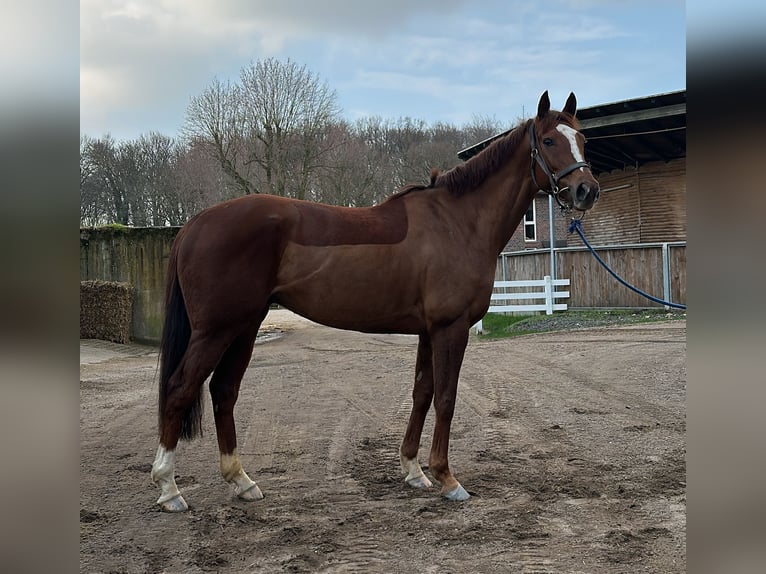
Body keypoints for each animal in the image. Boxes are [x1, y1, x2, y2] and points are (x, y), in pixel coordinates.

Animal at [153, 90, 604, 512]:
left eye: (582, 138)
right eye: (549, 140)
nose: (586, 190)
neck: (458, 222)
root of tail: (195, 223)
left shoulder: (428, 331)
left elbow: (422, 392)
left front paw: (414, 470)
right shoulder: (451, 328)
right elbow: (446, 397)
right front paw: (447, 478)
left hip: (244, 326)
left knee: (223, 390)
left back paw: (241, 481)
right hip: (217, 329)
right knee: (180, 389)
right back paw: (170, 489)